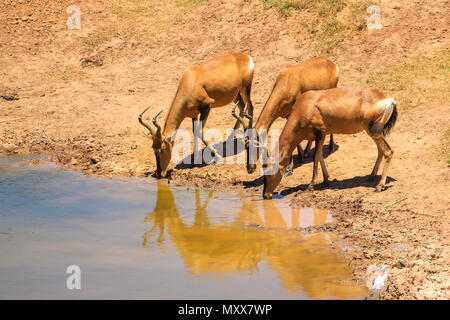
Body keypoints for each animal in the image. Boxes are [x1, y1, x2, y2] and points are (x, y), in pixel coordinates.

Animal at [264, 86, 398, 199]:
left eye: (271, 173)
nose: (266, 195)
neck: (307, 104)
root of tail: (389, 100)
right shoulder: (320, 136)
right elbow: (320, 156)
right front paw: (326, 180)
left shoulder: (320, 133)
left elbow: (315, 156)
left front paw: (311, 185)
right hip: (374, 132)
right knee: (381, 150)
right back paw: (371, 176)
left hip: (373, 131)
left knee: (388, 151)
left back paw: (380, 186)